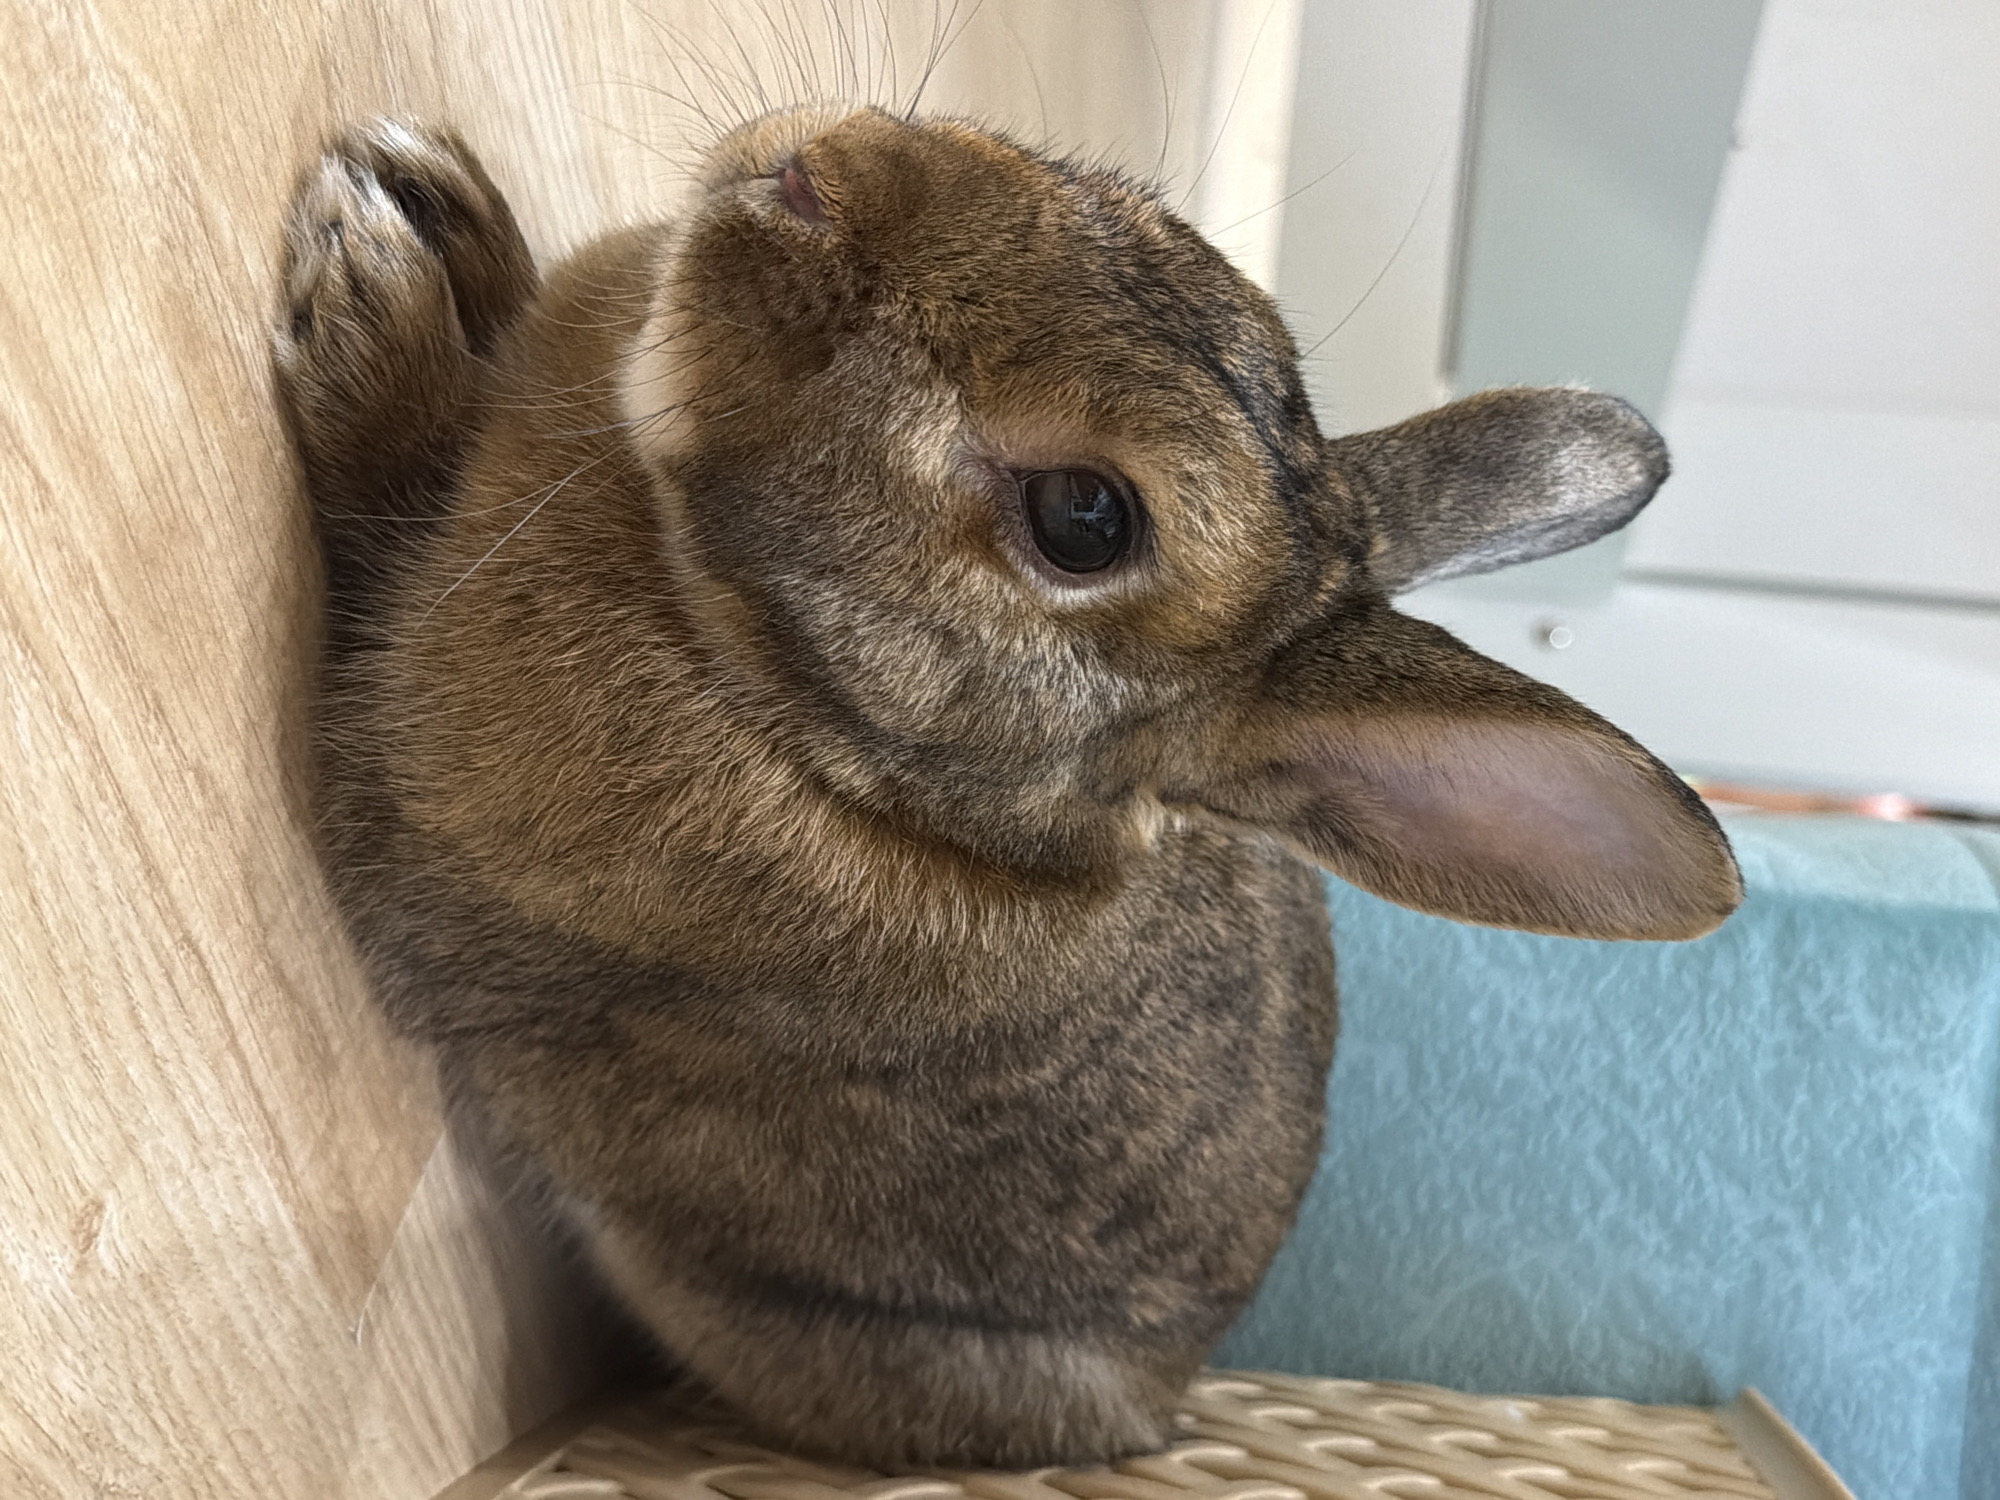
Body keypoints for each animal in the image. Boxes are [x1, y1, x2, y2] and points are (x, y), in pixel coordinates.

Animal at [273, 110, 1740, 1470]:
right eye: (1142, 216)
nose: (813, 172)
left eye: (1085, 521)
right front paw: (451, 207)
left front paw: (367, 278)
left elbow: (382, 511)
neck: (835, 738)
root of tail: (1160, 1404)